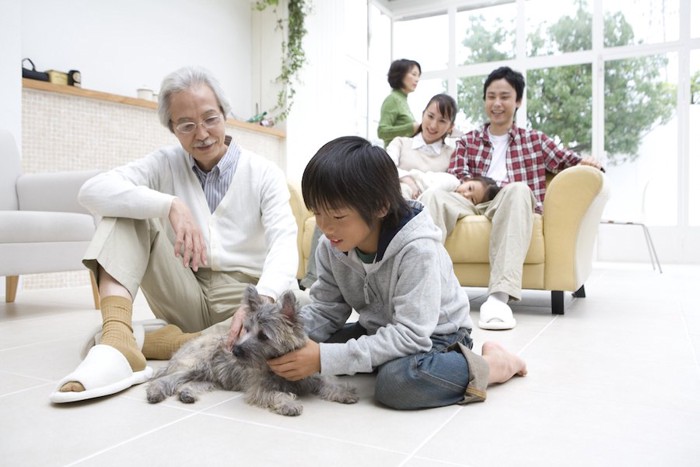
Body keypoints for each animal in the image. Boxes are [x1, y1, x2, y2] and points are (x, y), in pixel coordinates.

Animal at [146, 286, 358, 416]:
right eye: (246, 329)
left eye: (263, 336)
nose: (235, 350)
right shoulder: (259, 389)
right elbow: (277, 394)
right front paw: (289, 404)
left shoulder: (310, 371)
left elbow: (328, 382)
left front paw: (344, 392)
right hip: (195, 365)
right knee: (166, 379)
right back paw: (156, 391)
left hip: (208, 376)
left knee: (191, 383)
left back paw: (187, 393)